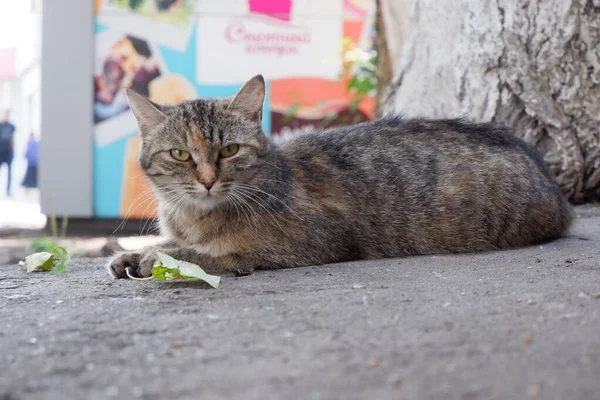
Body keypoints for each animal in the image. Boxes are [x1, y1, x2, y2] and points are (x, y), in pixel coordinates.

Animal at [108, 75, 572, 278]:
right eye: (180, 154)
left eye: (229, 150)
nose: (206, 180)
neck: (194, 218)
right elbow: (169, 243)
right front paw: (140, 251)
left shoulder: (312, 242)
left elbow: (219, 254)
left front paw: (164, 257)